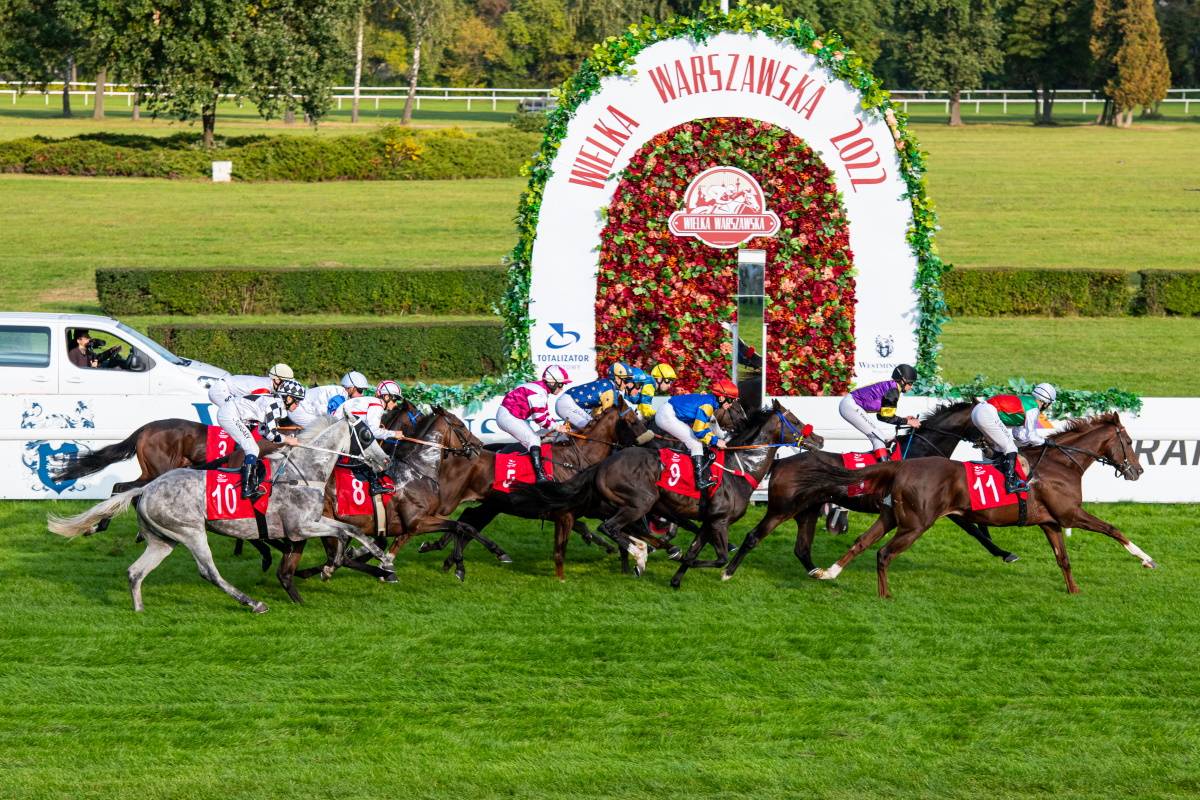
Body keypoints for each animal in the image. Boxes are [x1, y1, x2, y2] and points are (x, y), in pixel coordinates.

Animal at [49, 417, 393, 618]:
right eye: (366, 434)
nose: (386, 461)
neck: (303, 471)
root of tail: (146, 491)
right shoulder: (300, 526)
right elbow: (345, 531)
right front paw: (359, 563)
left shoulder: (311, 523)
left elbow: (347, 531)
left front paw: (372, 561)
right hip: (191, 531)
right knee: (209, 573)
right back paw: (253, 603)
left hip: (163, 540)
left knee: (135, 571)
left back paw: (139, 610)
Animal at [520, 402, 820, 592]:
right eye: (794, 421)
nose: (818, 439)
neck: (740, 468)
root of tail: (603, 463)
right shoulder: (720, 521)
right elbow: (720, 558)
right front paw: (712, 569)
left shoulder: (708, 522)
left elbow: (694, 549)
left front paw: (676, 579)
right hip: (640, 501)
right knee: (610, 527)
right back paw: (639, 553)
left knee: (621, 528)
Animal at [715, 400, 1017, 582]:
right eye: (985, 422)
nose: (994, 450)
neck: (922, 450)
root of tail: (780, 462)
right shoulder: (933, 504)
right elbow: (973, 529)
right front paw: (1006, 553)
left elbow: (973, 527)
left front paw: (1003, 552)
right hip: (782, 509)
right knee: (754, 536)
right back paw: (728, 572)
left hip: (807, 510)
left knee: (801, 548)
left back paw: (817, 572)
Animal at [796, 417, 1142, 597]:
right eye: (1128, 442)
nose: (1137, 471)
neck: (1060, 464)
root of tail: (901, 467)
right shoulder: (1070, 514)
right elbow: (1113, 529)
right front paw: (1146, 559)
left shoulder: (1051, 521)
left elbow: (1063, 559)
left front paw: (1074, 591)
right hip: (916, 524)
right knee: (883, 553)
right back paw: (884, 594)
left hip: (891, 516)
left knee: (861, 543)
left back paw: (827, 572)